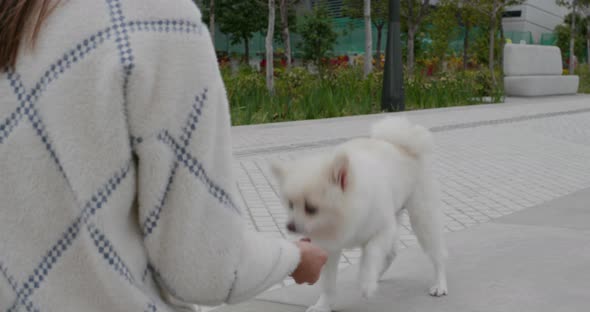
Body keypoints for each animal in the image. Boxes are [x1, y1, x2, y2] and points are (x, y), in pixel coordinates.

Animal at [272, 116, 448, 312]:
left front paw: (366, 283)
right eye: (290, 205)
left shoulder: (382, 231)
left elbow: (370, 255)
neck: (342, 219)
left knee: (437, 254)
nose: (289, 226)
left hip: (422, 218)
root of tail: (402, 145)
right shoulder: (330, 248)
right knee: (391, 254)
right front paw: (323, 305)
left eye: (311, 208)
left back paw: (439, 284)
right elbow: (328, 283)